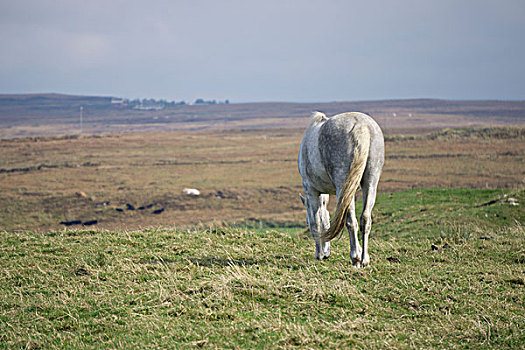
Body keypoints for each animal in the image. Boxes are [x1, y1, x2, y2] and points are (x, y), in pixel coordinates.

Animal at [298, 110, 384, 266]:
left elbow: (316, 223)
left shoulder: (311, 191)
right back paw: (364, 259)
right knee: (365, 219)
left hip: (342, 187)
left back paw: (355, 258)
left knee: (351, 222)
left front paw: (319, 255)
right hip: (370, 182)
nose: (326, 254)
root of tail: (361, 125)